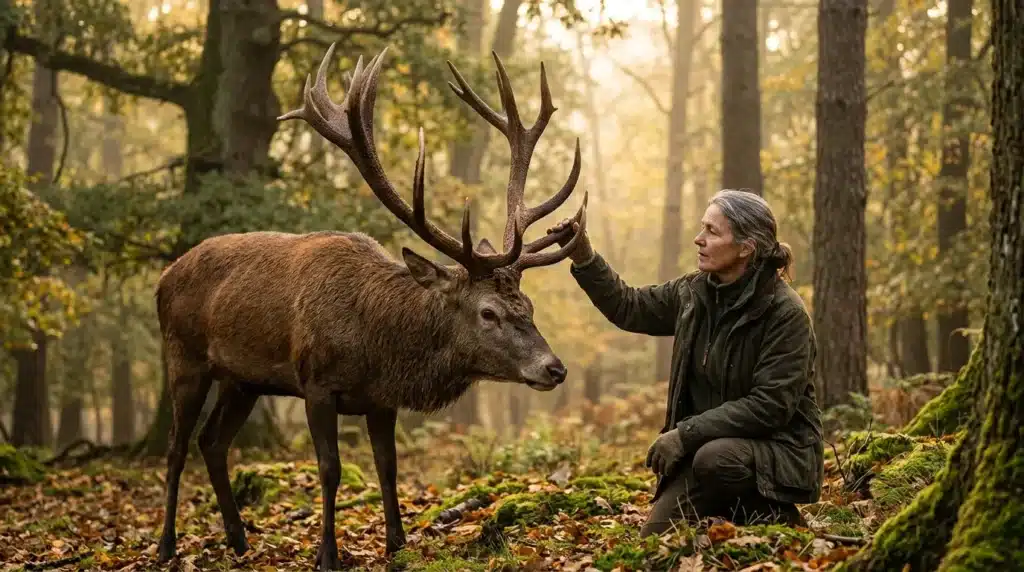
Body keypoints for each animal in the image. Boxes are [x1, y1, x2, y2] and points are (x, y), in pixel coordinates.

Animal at [154, 42, 588, 571]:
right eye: (489, 312)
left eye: (528, 304)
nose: (554, 368)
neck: (377, 348)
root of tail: (163, 278)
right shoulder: (316, 383)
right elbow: (330, 468)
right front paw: (327, 554)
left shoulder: (382, 400)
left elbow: (388, 466)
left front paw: (397, 544)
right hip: (184, 357)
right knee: (176, 448)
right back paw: (166, 545)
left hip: (243, 381)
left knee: (212, 442)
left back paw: (239, 540)